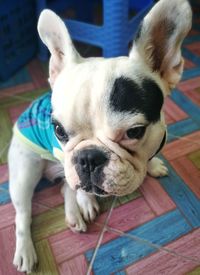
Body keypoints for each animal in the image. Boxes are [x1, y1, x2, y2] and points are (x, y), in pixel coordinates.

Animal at [8, 0, 191, 272]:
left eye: (134, 131)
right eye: (58, 130)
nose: (88, 158)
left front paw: (154, 164)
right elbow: (78, 188)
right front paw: (85, 199)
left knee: (64, 188)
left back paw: (73, 214)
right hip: (24, 171)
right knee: (23, 213)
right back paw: (26, 250)